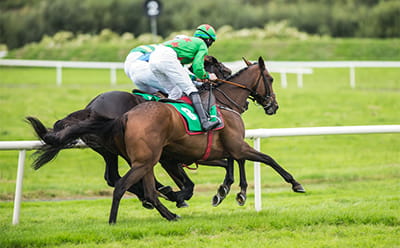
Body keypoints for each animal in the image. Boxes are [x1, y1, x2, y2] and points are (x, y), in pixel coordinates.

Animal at [42, 56, 304, 223]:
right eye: (271, 79)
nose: (273, 105)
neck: (222, 102)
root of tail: (90, 107)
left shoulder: (204, 152)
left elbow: (230, 163)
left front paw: (227, 191)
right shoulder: (217, 149)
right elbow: (262, 158)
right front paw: (294, 184)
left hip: (113, 152)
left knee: (114, 177)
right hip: (133, 154)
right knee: (120, 179)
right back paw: (158, 199)